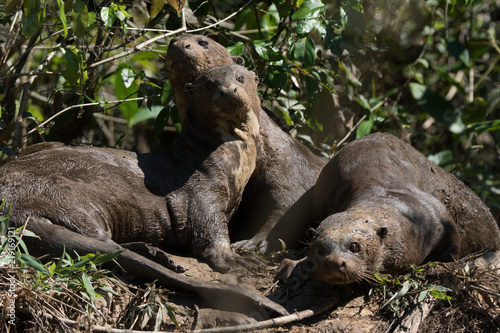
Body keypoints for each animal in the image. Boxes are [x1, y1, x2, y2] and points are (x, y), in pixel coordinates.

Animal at [0, 63, 262, 274]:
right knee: (103, 243)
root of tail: (12, 209)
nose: (227, 90)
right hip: (69, 198)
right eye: (209, 85)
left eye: (240, 78)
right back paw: (159, 256)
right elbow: (206, 229)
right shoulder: (202, 189)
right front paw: (232, 260)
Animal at [165, 34, 328, 252]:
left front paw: (255, 242)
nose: (179, 44)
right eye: (172, 41)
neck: (262, 148)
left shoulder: (289, 173)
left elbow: (286, 207)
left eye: (203, 42)